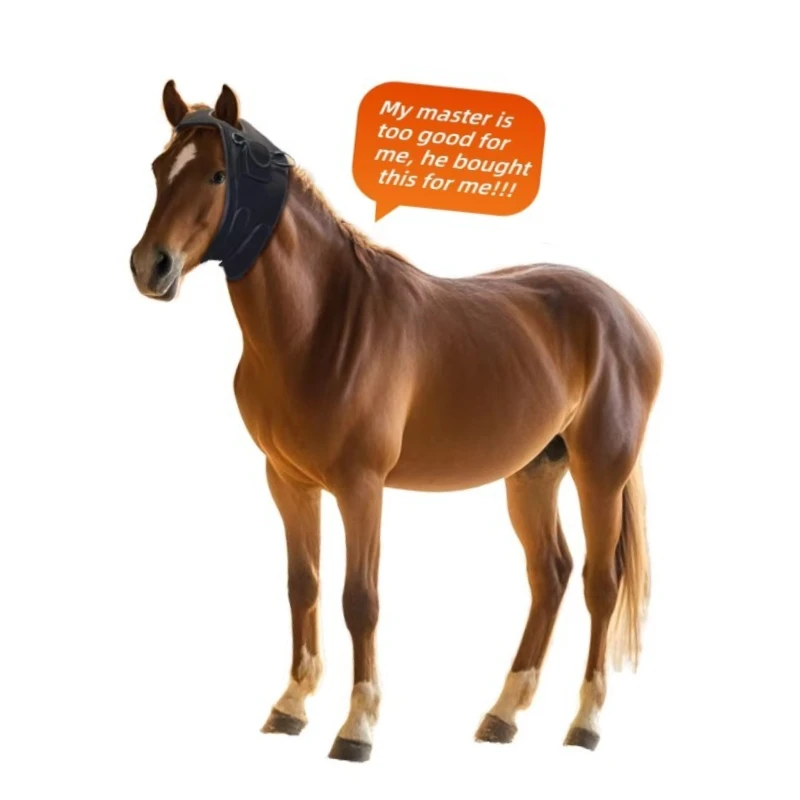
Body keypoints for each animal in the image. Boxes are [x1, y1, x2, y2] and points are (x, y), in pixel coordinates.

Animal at [130, 81, 662, 762]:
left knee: (601, 582)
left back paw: (585, 724)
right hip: (533, 474)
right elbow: (303, 586)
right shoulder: (289, 483)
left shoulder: (362, 488)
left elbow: (360, 599)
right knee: (551, 575)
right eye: (157, 169)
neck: (321, 323)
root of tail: (624, 314)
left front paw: (356, 728)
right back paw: (502, 715)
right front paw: (291, 706)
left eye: (218, 175)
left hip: (600, 473)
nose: (151, 266)